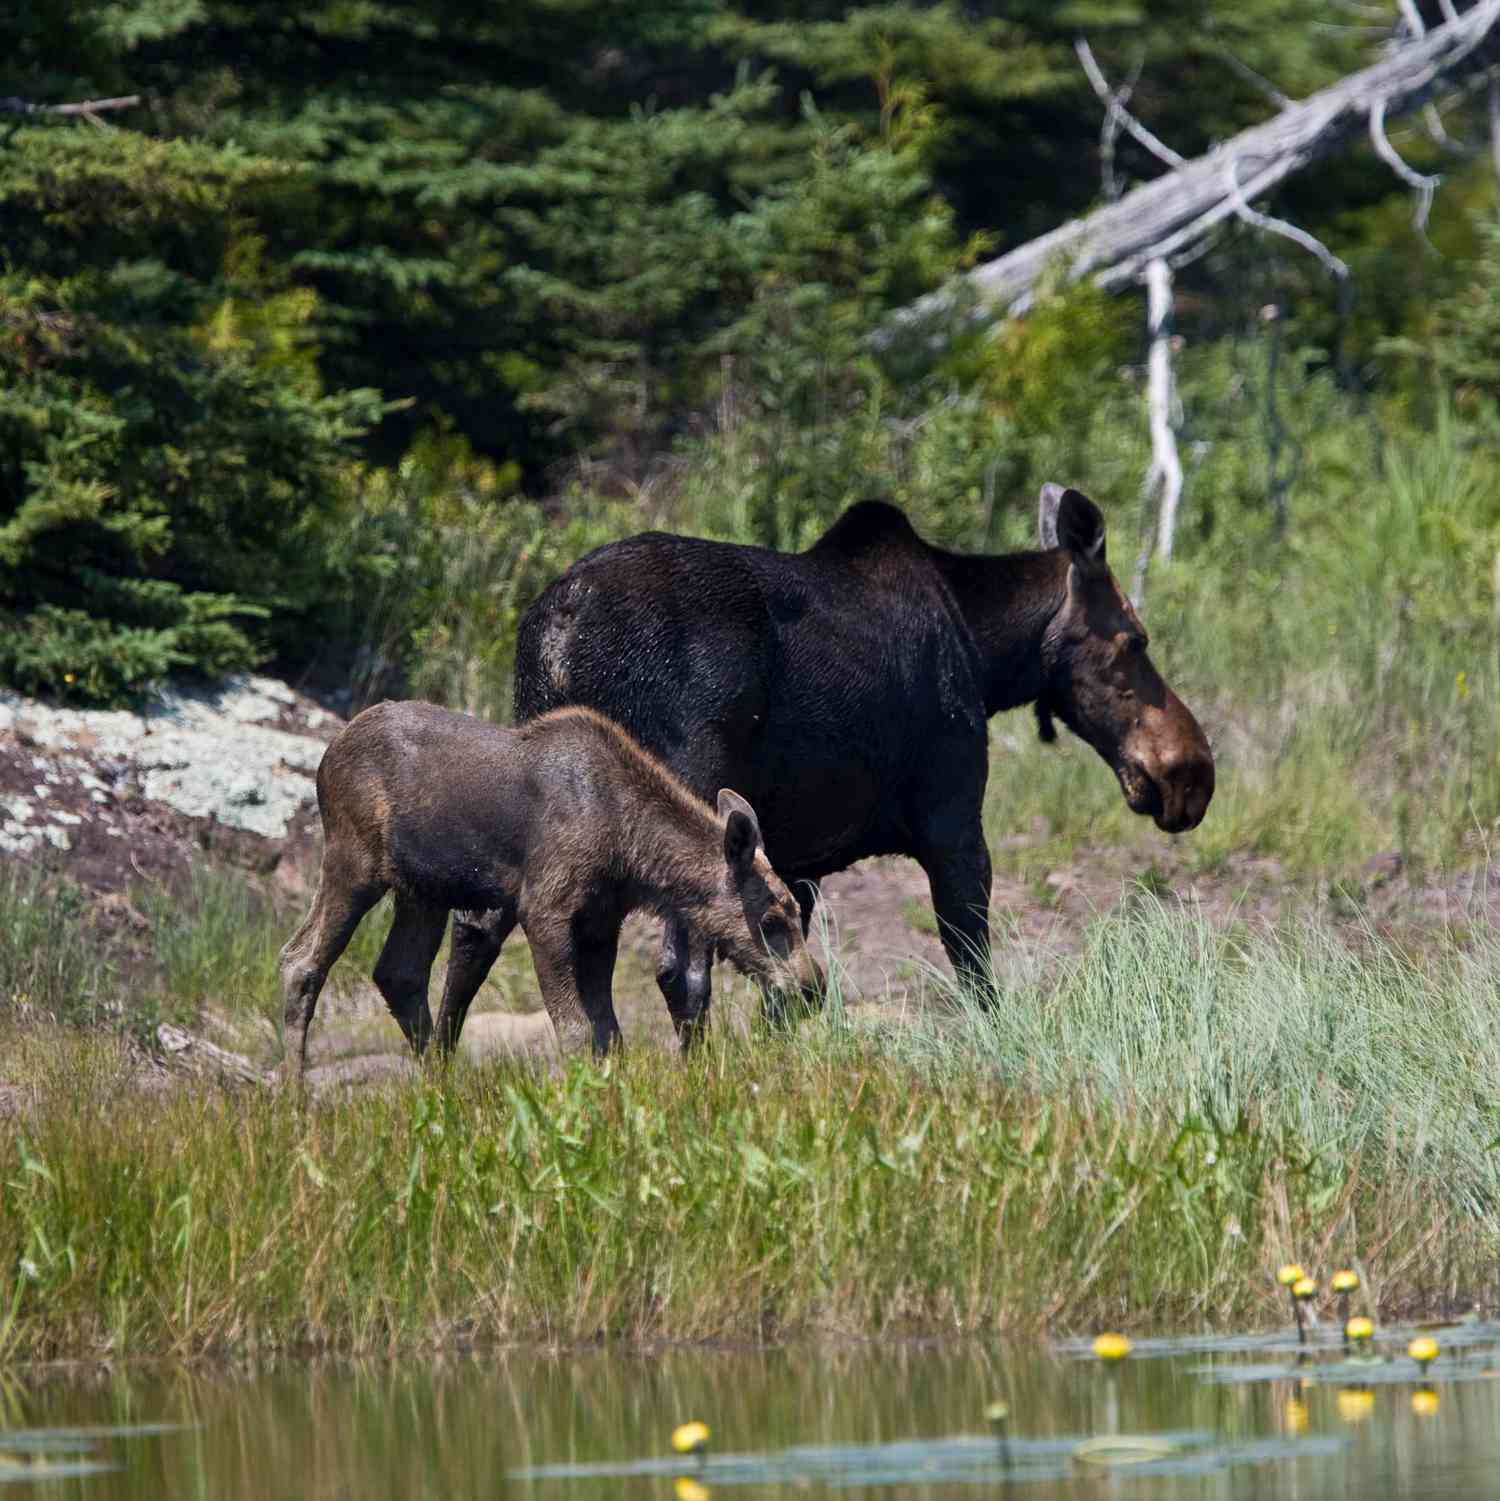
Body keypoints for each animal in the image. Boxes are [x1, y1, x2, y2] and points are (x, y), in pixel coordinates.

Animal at [441, 483, 1207, 1044]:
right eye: (1135, 640)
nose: (1191, 771)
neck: (988, 654)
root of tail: (557, 634)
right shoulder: (953, 820)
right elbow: (973, 966)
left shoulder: (795, 859)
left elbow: (789, 990)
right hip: (680, 799)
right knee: (679, 971)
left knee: (471, 935)